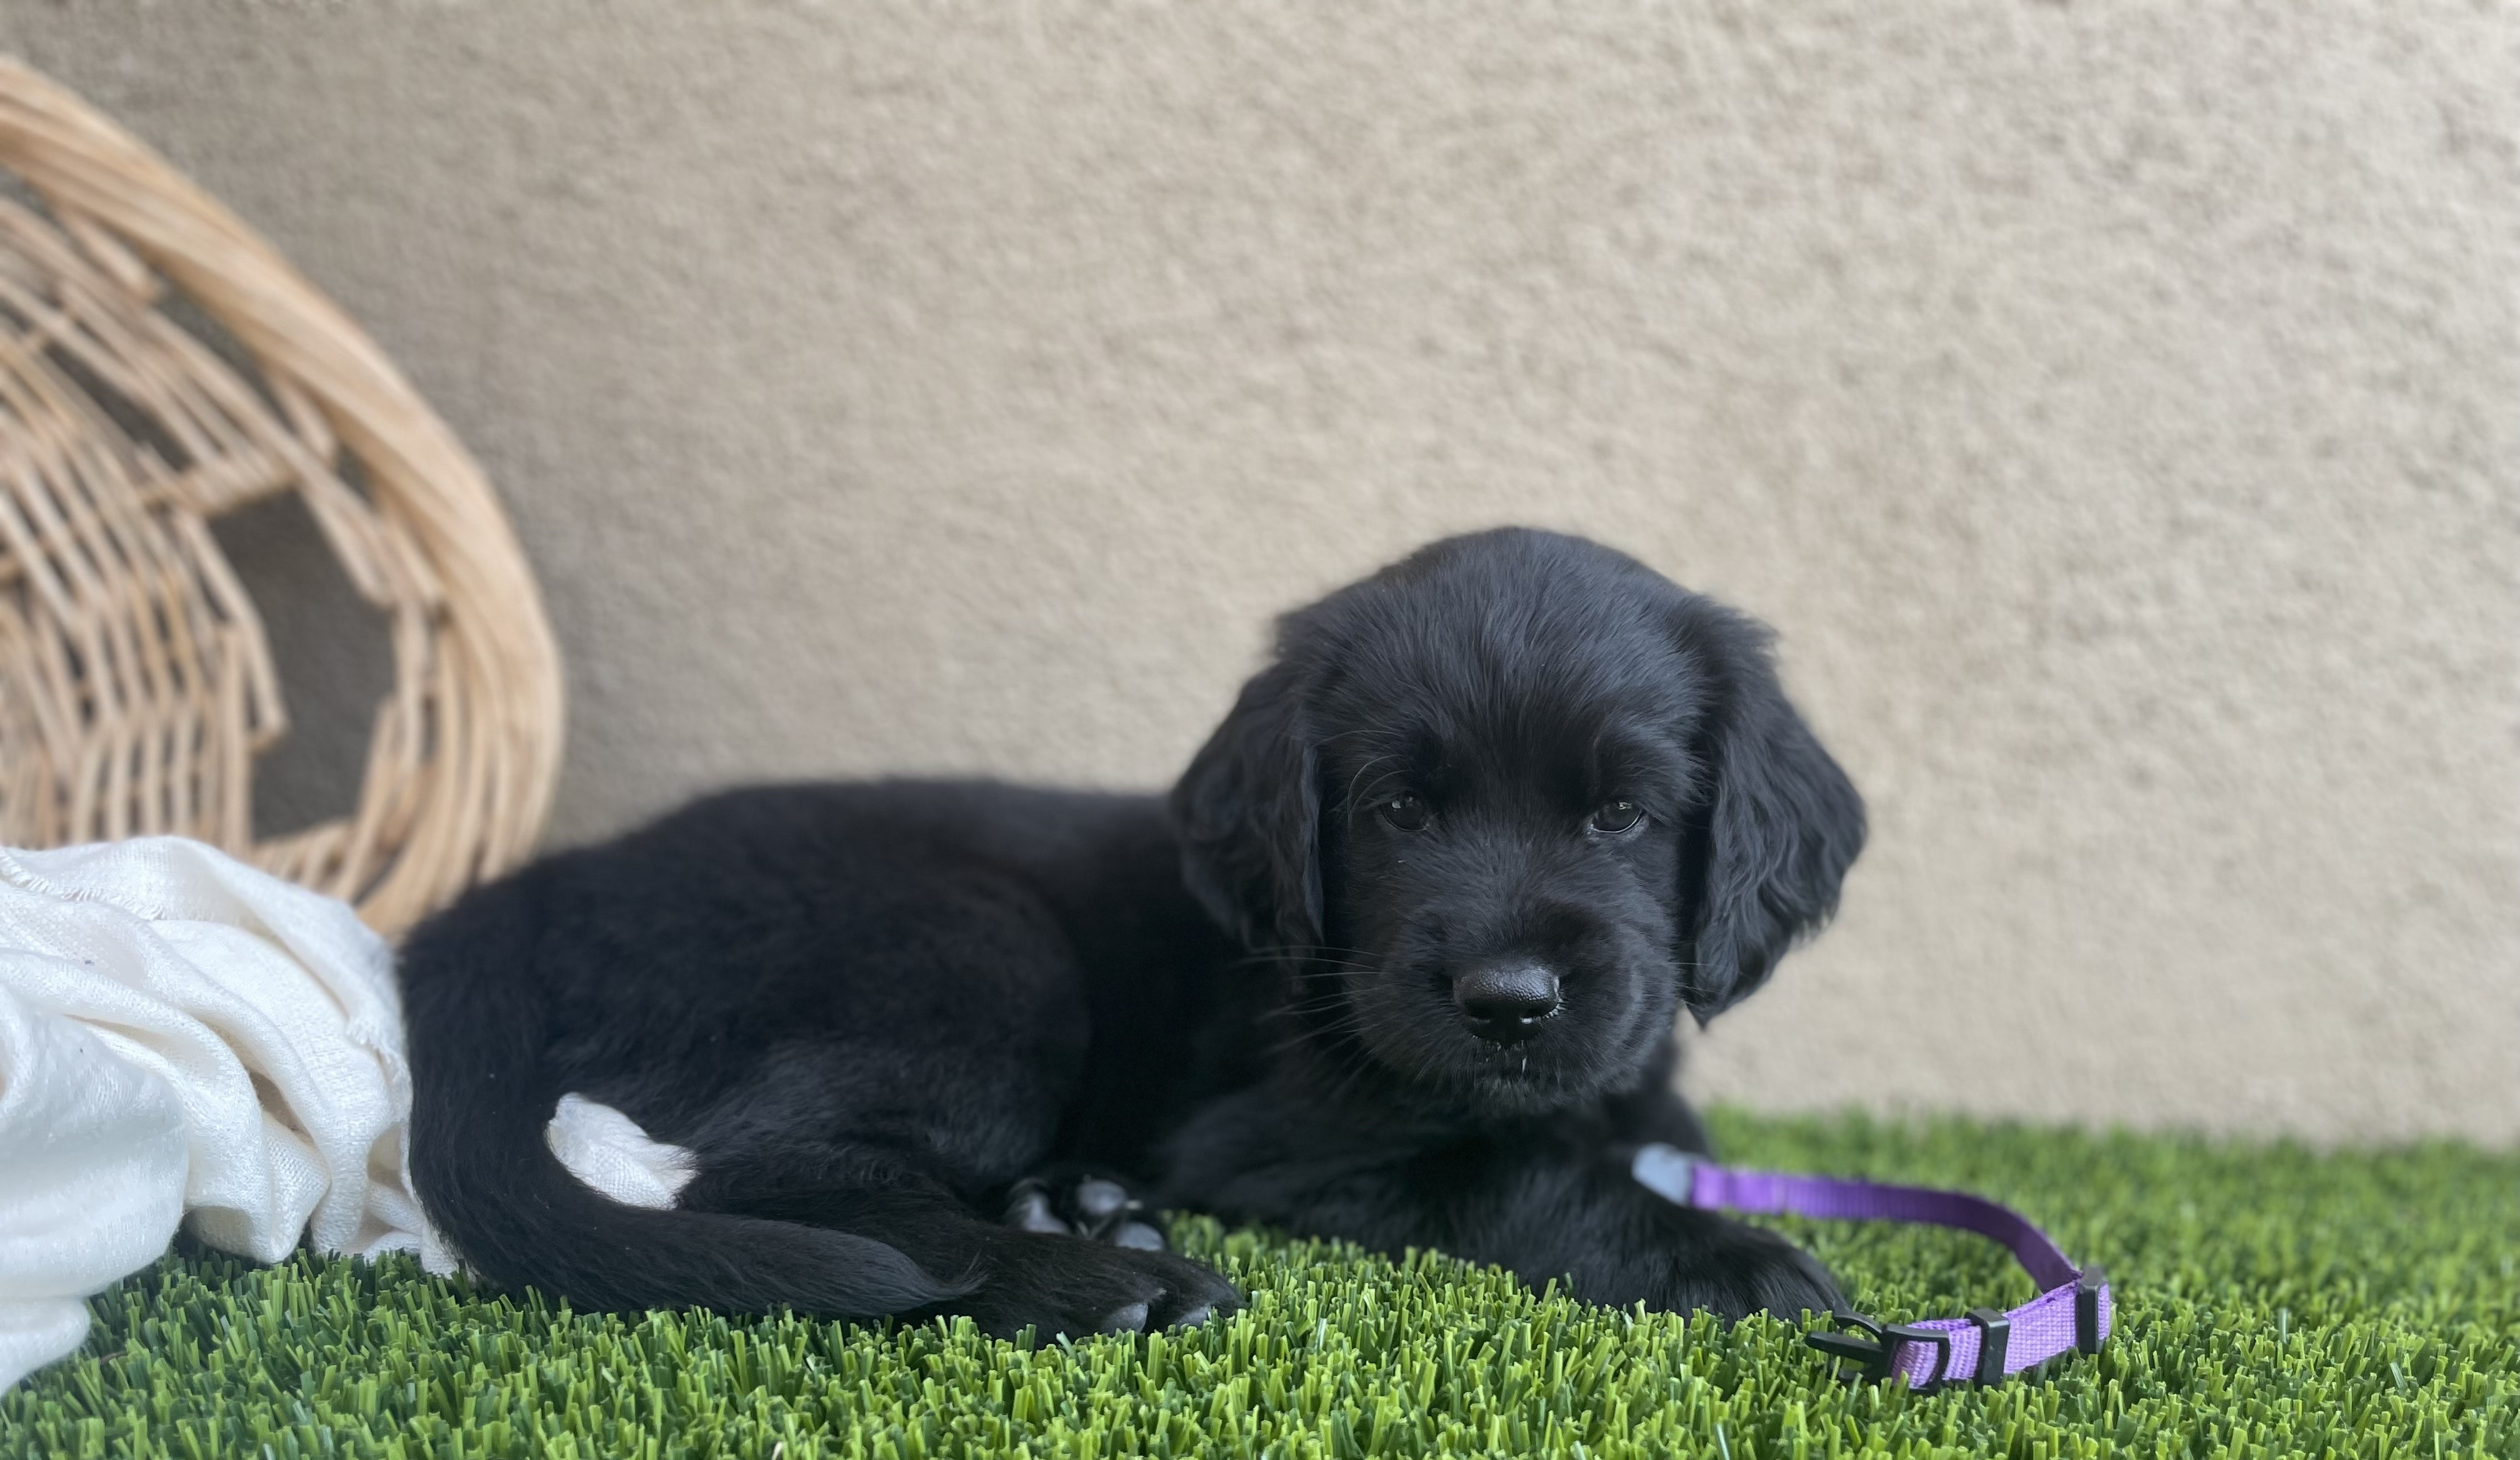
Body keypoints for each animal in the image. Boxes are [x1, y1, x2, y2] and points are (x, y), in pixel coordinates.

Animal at [403, 532, 1864, 1341]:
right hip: (980, 948)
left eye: (1623, 814)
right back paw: (1087, 1275)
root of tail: (525, 896)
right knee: (764, 1170)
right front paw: (1731, 1261)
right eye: (1396, 809)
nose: (1508, 999)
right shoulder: (1281, 1140)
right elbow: (1519, 1172)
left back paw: (1082, 1205)